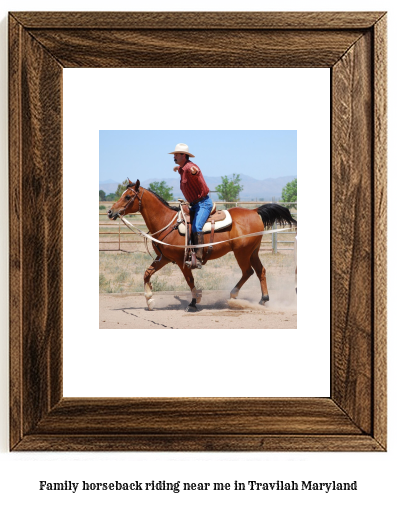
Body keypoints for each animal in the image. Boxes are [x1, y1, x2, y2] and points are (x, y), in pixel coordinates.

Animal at [106, 179, 296, 314]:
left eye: (128, 196)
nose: (110, 211)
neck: (167, 222)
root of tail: (254, 211)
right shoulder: (164, 258)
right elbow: (147, 273)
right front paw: (149, 300)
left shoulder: (182, 261)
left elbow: (190, 281)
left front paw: (193, 302)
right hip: (252, 251)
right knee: (260, 271)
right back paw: (263, 299)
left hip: (242, 252)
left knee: (248, 271)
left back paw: (234, 295)